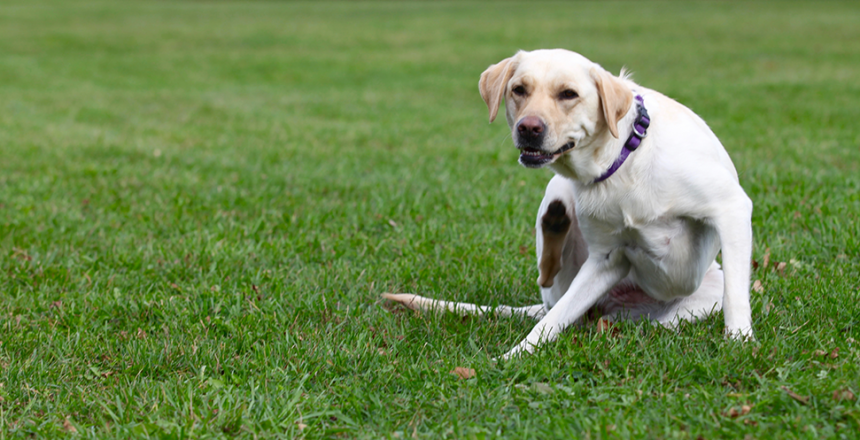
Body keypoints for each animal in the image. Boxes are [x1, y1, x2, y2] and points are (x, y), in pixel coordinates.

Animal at [382, 49, 752, 358]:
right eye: (519, 89)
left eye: (568, 94)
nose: (529, 127)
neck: (621, 162)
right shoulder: (606, 259)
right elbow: (548, 325)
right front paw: (511, 358)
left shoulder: (732, 208)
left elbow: (736, 296)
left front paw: (740, 343)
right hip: (558, 202)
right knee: (550, 290)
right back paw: (555, 221)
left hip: (686, 307)